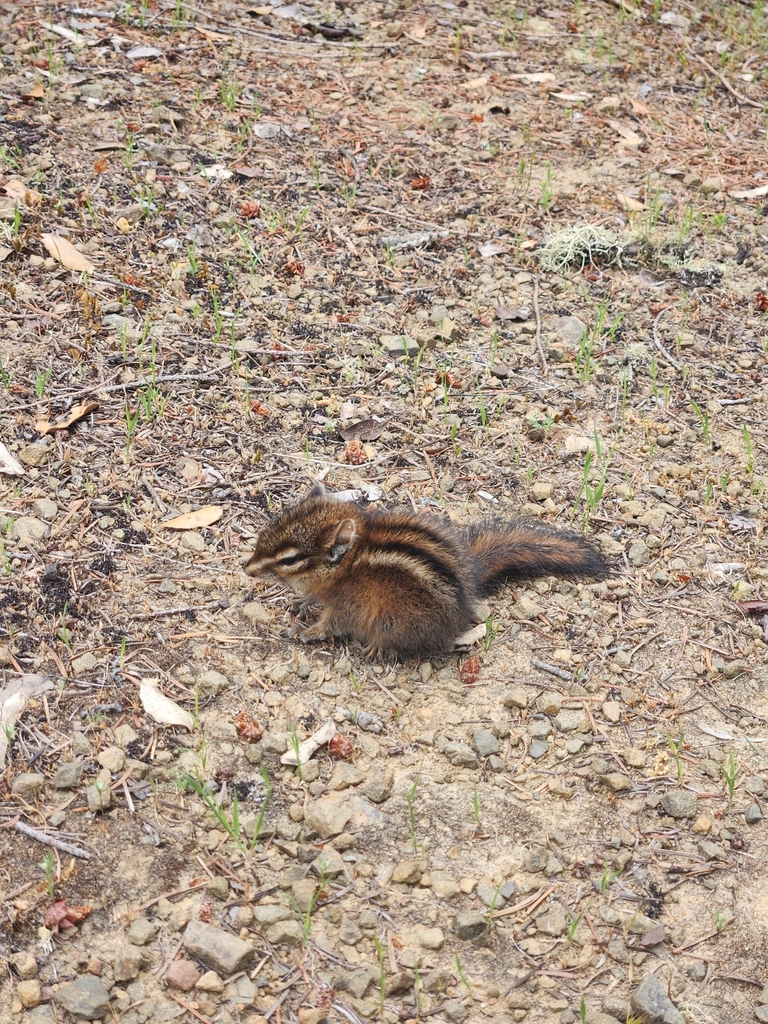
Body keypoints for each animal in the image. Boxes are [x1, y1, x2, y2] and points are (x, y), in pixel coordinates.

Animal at [244, 482, 608, 662]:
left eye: (291, 559)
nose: (246, 568)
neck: (346, 566)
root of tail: (466, 591)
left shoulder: (350, 603)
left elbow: (333, 624)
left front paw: (307, 631)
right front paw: (302, 604)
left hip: (393, 618)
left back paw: (380, 648)